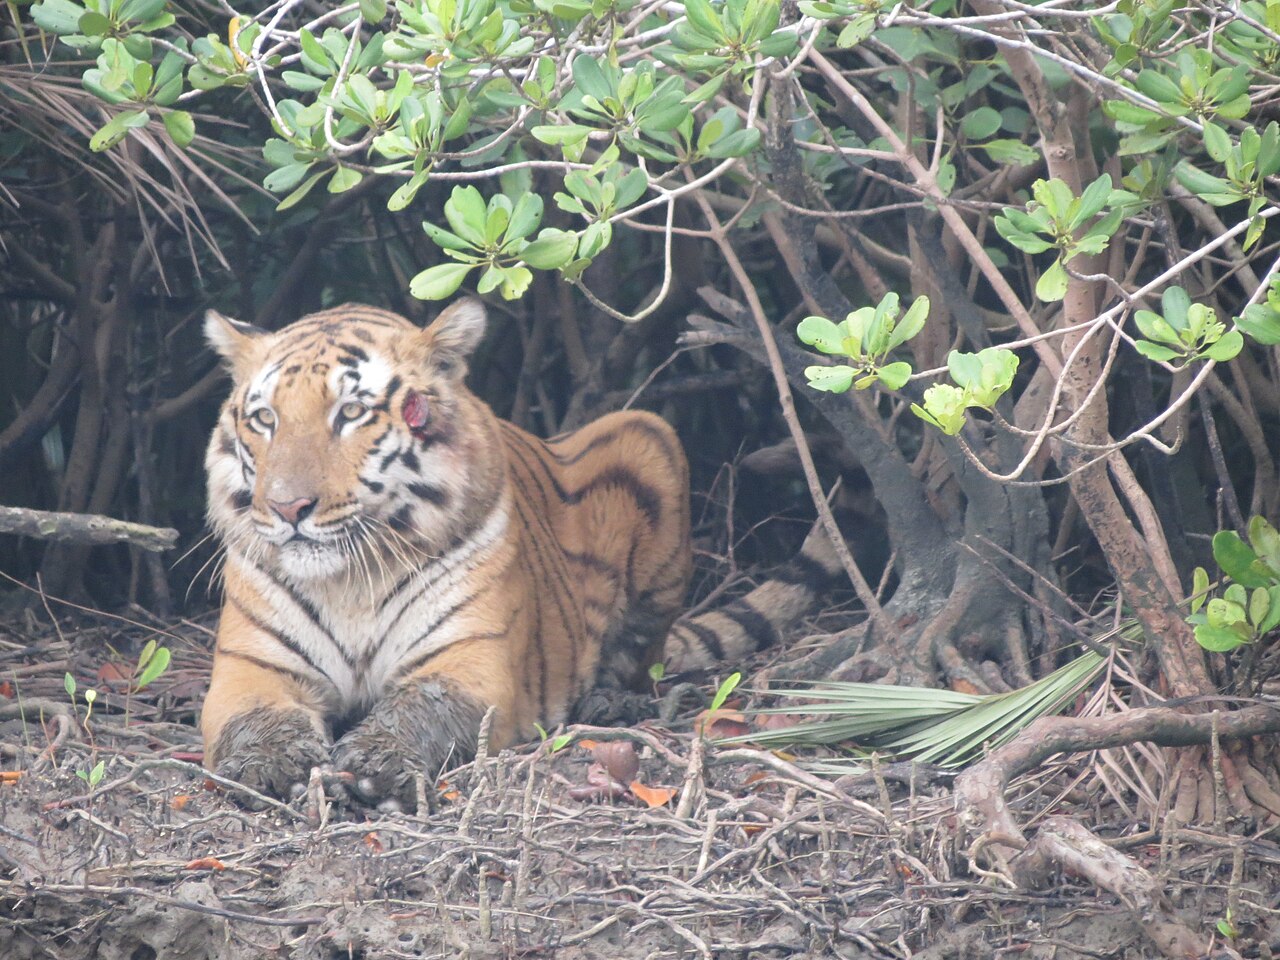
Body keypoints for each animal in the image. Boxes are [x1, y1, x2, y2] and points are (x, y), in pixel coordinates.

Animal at [201, 298, 842, 807]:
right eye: (265, 419)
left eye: (351, 412)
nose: (287, 508)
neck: (351, 583)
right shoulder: (249, 667)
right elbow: (253, 717)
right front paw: (269, 766)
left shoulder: (473, 661)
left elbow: (425, 704)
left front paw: (375, 763)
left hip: (648, 437)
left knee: (640, 654)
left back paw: (608, 704)